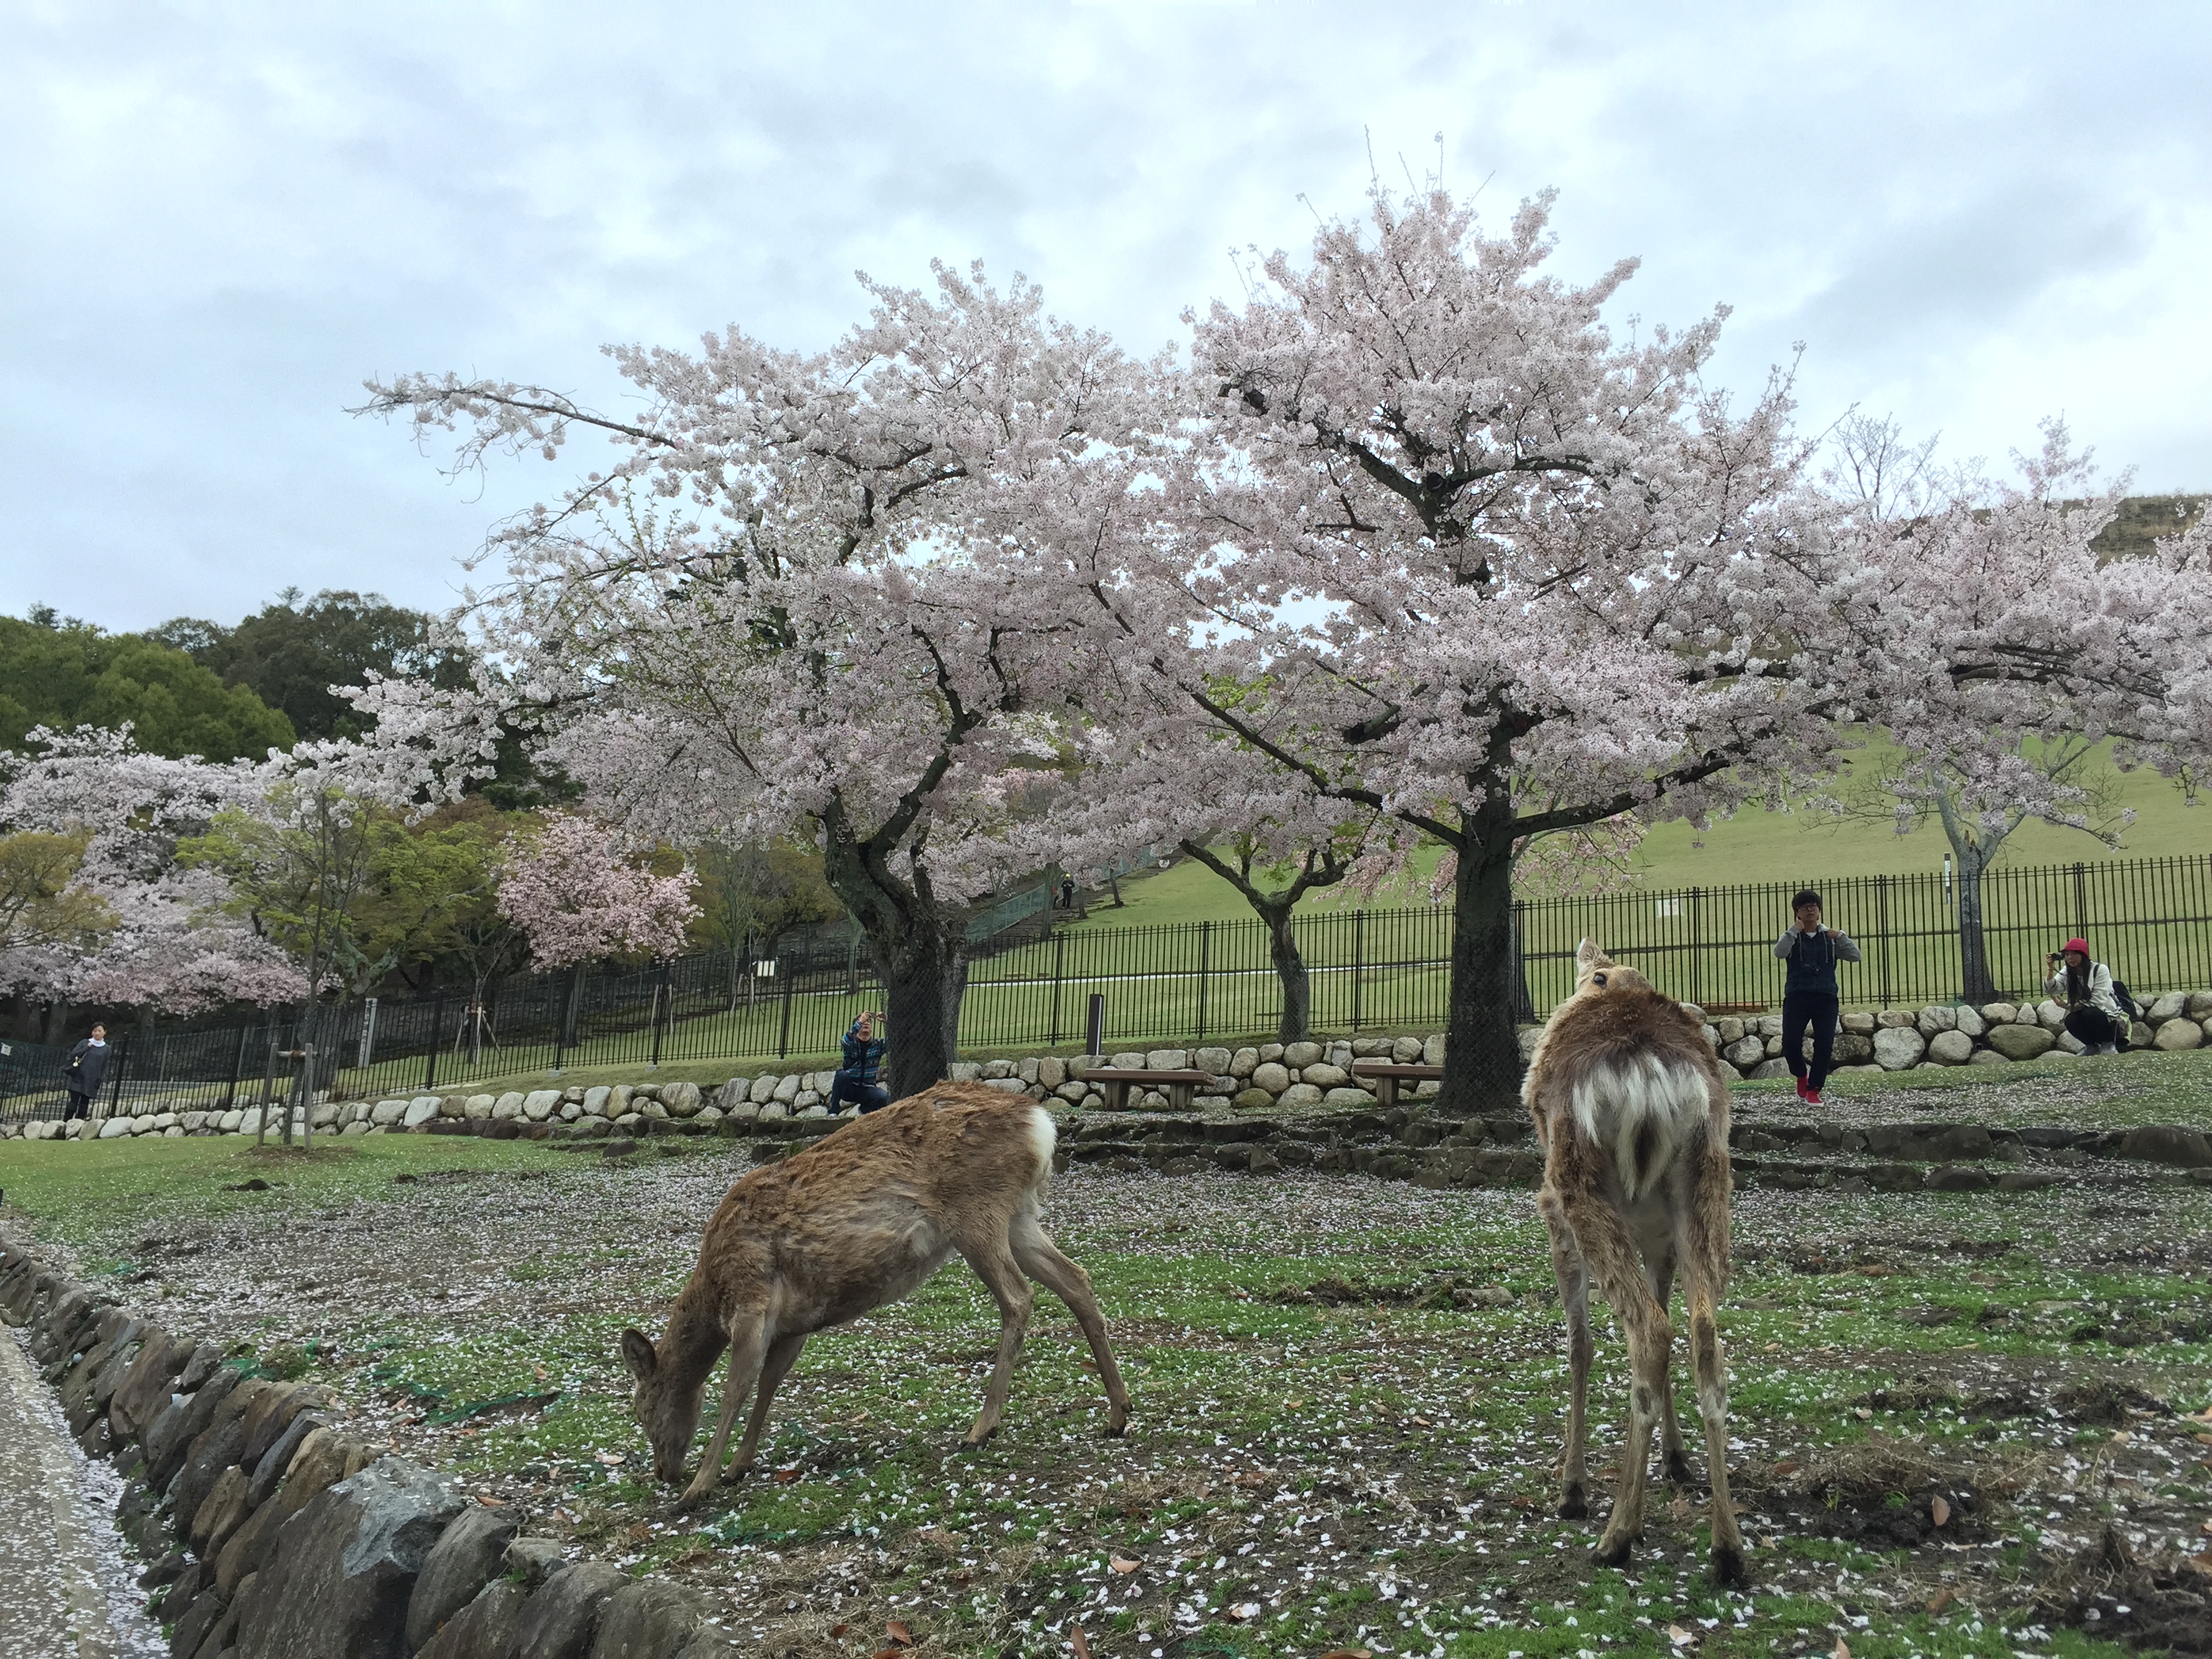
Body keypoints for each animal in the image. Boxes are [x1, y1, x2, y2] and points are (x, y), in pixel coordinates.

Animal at [623, 1079, 1141, 1504]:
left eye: (643, 1409)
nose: (664, 1472)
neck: (713, 1288)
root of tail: (1041, 1125)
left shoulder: (752, 1297)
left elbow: (736, 1388)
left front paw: (699, 1488)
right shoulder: (795, 1323)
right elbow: (771, 1383)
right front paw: (737, 1468)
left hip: (977, 1212)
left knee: (1018, 1297)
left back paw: (981, 1429)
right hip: (1020, 1216)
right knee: (1077, 1279)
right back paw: (1118, 1413)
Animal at [1521, 942, 1743, 1593]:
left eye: (1593, 976)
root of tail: (1647, 1069)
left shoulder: (1553, 1215)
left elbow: (1580, 1345)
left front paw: (1570, 1490)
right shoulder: (1660, 1235)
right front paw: (1677, 1459)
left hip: (1578, 1183)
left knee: (1647, 1331)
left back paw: (1616, 1534)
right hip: (1706, 1182)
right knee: (1700, 1334)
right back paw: (1727, 1548)